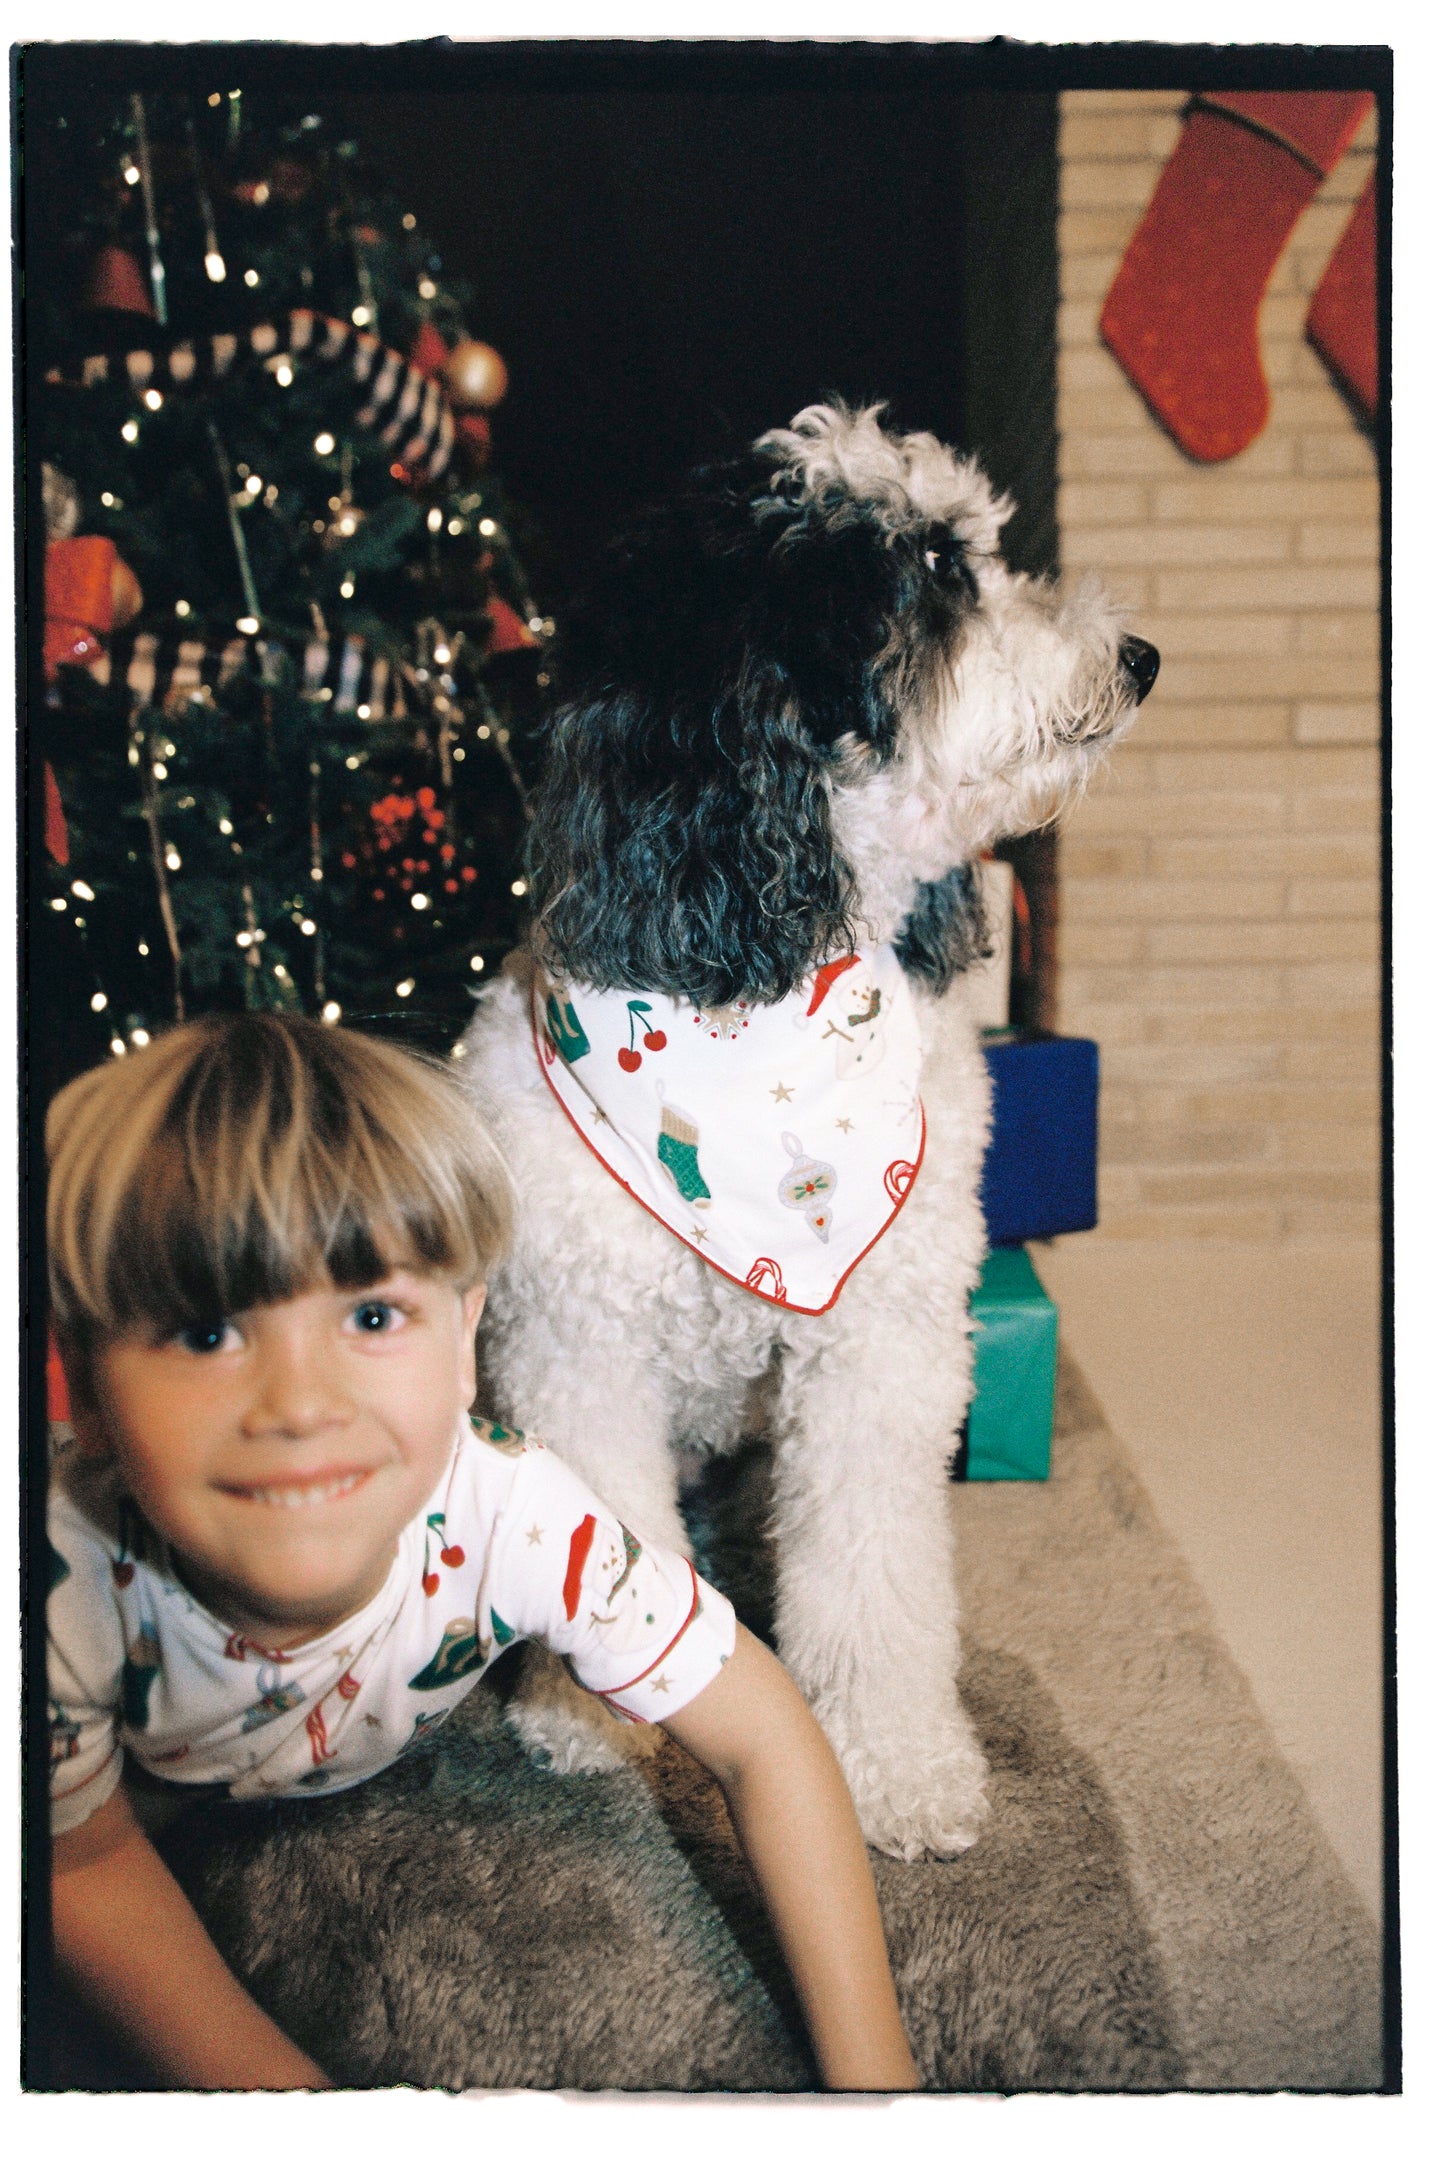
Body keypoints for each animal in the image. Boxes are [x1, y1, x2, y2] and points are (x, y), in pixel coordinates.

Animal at [462, 406, 1157, 1857]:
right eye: (939, 570)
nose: (1139, 656)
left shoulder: (877, 1354)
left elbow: (874, 1573)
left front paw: (895, 1765)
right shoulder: (576, 1350)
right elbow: (611, 1544)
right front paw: (595, 1715)